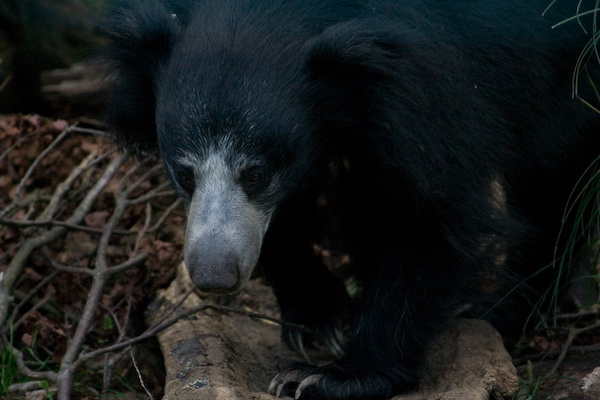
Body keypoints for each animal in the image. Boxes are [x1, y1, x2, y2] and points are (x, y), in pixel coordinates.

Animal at [103, 0, 600, 398]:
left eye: (257, 174)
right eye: (184, 173)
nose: (214, 275)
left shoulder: (430, 82)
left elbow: (433, 214)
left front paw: (330, 376)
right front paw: (320, 319)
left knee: (552, 182)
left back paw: (497, 308)